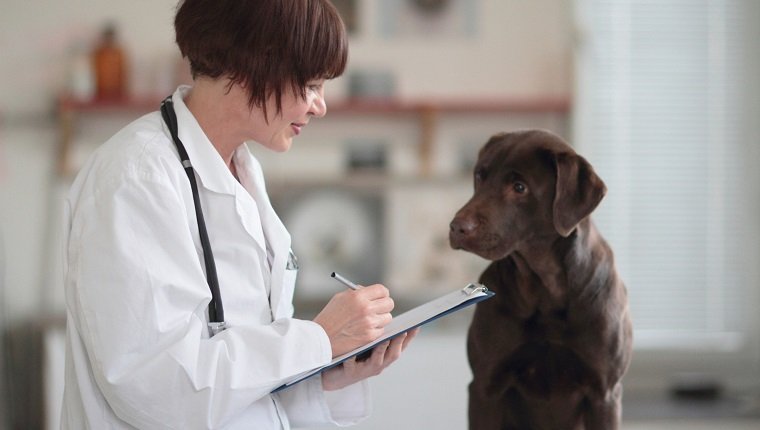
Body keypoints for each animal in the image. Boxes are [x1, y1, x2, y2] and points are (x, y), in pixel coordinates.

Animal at [448, 129, 632, 428]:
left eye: (519, 187)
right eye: (479, 176)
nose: (456, 227)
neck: (544, 290)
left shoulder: (604, 393)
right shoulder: (485, 387)